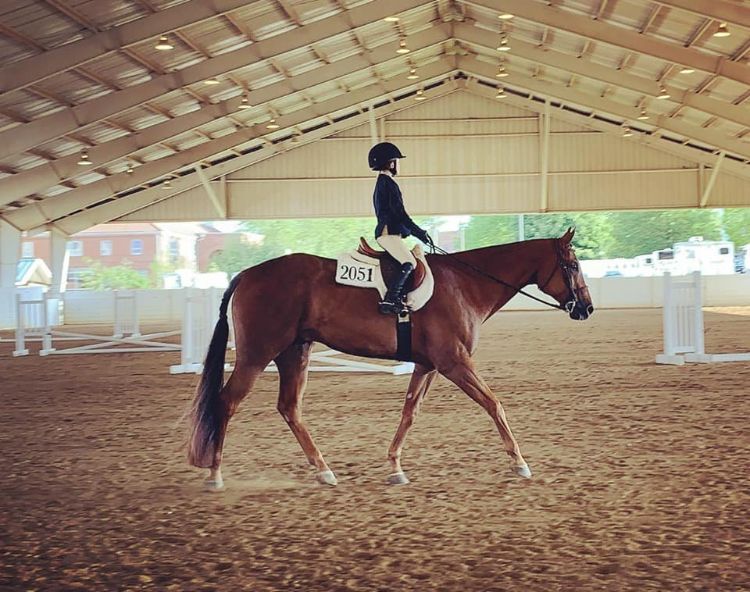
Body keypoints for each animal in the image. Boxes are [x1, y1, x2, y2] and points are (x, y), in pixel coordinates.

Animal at [187, 228, 593, 489]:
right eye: (573, 266)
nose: (586, 308)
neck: (465, 285)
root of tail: (247, 273)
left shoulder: (429, 365)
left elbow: (409, 412)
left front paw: (395, 467)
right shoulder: (455, 363)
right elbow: (494, 404)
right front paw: (520, 463)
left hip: (294, 353)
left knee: (289, 408)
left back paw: (324, 471)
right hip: (257, 355)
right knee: (226, 403)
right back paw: (215, 475)